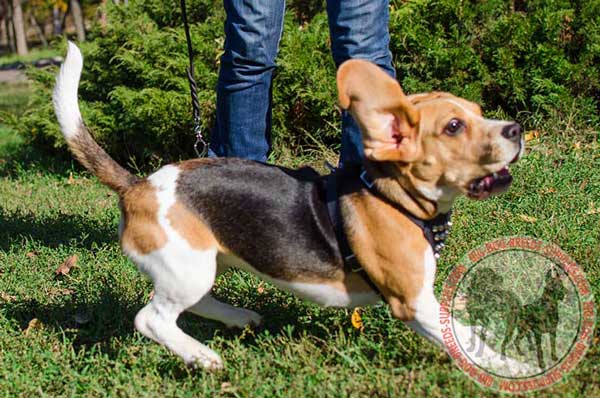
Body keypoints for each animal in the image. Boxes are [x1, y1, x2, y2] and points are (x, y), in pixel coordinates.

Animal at [55, 42, 524, 372]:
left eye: (479, 112)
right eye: (453, 126)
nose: (516, 129)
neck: (393, 196)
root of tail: (139, 186)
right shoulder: (413, 301)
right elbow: (464, 340)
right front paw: (513, 367)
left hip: (201, 264)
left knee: (193, 304)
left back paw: (239, 318)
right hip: (187, 268)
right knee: (151, 320)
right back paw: (203, 357)